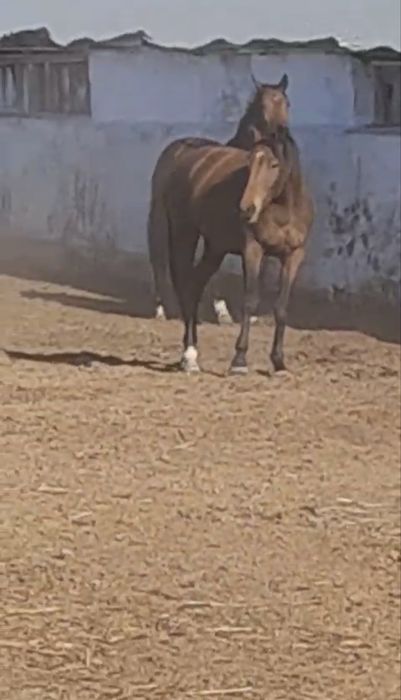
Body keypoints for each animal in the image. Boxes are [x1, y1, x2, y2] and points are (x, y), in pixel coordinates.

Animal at [147, 74, 290, 325]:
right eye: (263, 106)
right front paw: (226, 310)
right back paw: (165, 308)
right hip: (164, 218)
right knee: (160, 257)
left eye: (286, 103)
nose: (281, 132)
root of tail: (173, 149)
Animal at [163, 129, 314, 375]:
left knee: (195, 285)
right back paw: (189, 356)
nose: (247, 209)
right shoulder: (253, 250)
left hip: (215, 248)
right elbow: (250, 300)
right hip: (184, 235)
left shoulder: (294, 256)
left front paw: (279, 362)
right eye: (250, 162)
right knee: (185, 286)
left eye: (274, 164)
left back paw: (191, 356)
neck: (284, 210)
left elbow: (281, 307)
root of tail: (187, 157)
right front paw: (239, 360)